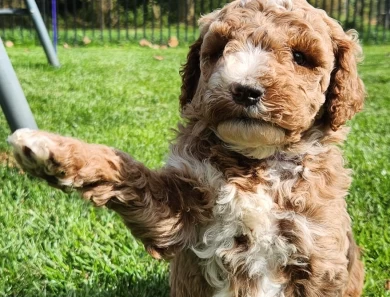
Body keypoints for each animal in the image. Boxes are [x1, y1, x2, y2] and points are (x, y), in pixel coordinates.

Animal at [8, 0, 366, 294]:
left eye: (300, 57)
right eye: (219, 50)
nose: (244, 90)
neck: (255, 164)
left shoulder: (320, 255)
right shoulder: (177, 214)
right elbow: (128, 169)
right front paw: (49, 147)